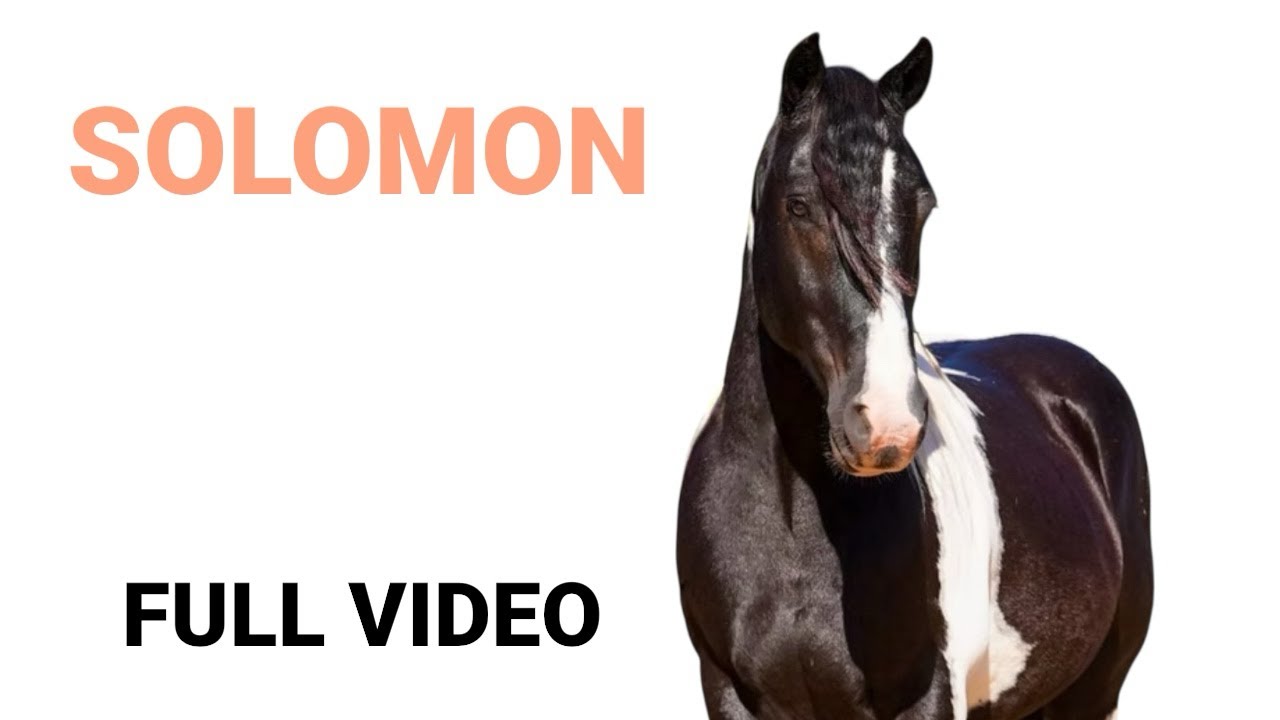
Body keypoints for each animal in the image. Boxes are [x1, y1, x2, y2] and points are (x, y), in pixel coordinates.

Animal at [676, 34, 1152, 720]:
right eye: (799, 204)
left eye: (922, 206)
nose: (886, 425)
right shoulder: (727, 691)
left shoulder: (925, 696)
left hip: (1095, 688)